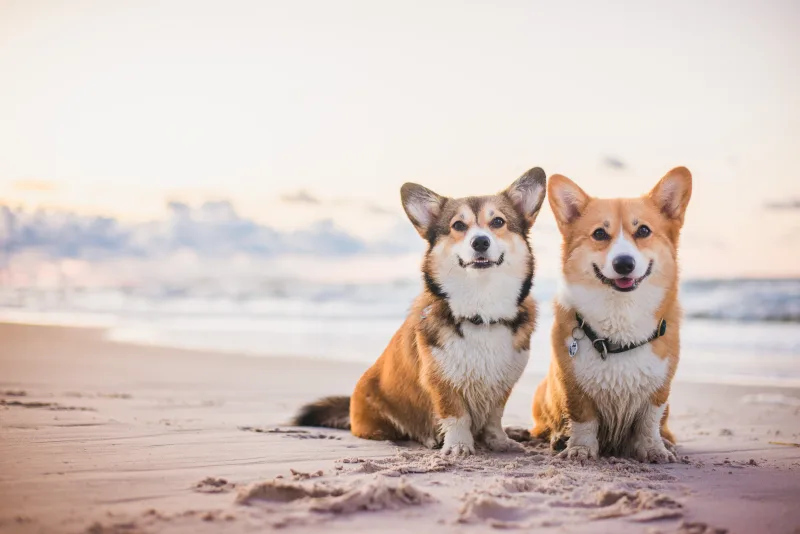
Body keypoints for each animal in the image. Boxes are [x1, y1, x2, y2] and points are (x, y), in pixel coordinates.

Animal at [296, 170, 552, 458]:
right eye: (458, 225)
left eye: (498, 221)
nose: (480, 241)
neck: (481, 307)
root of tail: (350, 405)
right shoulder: (441, 380)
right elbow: (456, 415)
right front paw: (458, 446)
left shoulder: (501, 383)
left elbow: (493, 418)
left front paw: (499, 441)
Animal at [528, 169, 692, 464]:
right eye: (600, 234)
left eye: (643, 230)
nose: (624, 263)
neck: (620, 315)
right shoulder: (573, 386)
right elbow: (583, 418)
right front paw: (580, 449)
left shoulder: (659, 389)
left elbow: (649, 421)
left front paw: (654, 449)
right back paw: (559, 438)